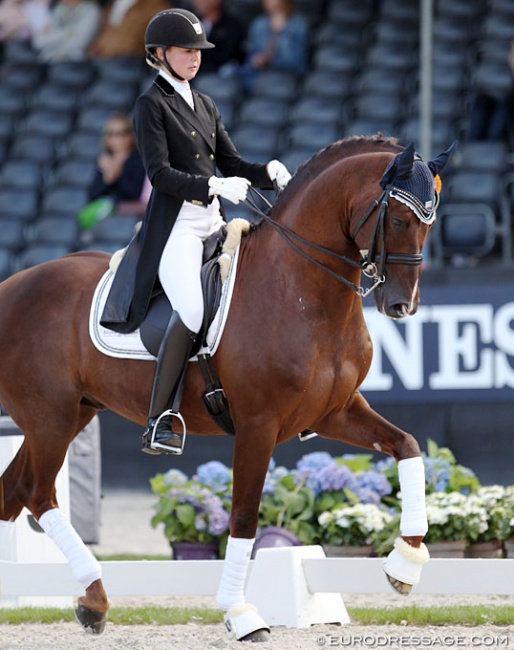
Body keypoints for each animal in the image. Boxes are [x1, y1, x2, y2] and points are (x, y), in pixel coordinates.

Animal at [0, 135, 450, 636]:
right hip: (50, 418)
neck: (299, 289)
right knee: (37, 493)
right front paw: (240, 613)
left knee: (13, 492)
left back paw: (91, 601)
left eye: (430, 221)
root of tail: (11, 286)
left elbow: (407, 445)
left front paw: (404, 565)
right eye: (398, 218)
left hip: (70, 414)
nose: (402, 305)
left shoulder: (335, 412)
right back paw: (95, 596)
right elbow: (245, 515)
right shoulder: (258, 424)